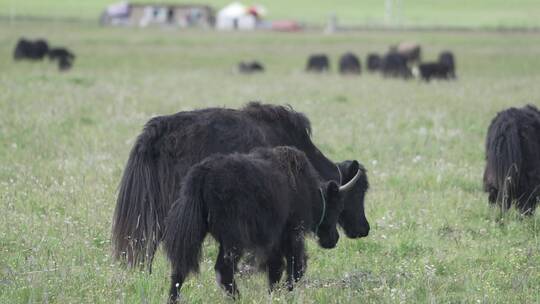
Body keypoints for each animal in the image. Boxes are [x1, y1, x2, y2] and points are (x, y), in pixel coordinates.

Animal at [165, 146, 354, 300]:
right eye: (337, 207)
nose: (334, 239)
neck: (309, 190)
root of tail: (202, 175)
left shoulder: (273, 240)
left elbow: (277, 267)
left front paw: (274, 293)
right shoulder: (292, 231)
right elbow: (295, 266)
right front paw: (284, 290)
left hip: (195, 232)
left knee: (180, 268)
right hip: (233, 239)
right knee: (223, 269)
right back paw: (238, 298)